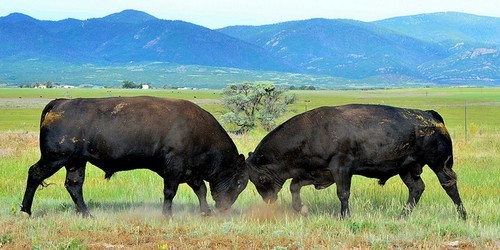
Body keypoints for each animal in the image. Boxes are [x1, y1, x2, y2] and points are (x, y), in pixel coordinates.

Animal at [21, 96, 248, 218]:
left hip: (75, 162)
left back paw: (88, 214)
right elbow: (170, 192)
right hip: (54, 158)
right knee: (35, 174)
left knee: (74, 185)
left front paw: (205, 212)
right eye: (239, 182)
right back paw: (26, 211)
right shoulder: (174, 167)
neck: (200, 131)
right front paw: (167, 216)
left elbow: (200, 189)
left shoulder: (190, 172)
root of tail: (61, 103)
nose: (224, 207)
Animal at [248, 103, 466, 219]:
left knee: (449, 186)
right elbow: (295, 186)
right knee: (417, 188)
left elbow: (343, 193)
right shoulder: (318, 173)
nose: (268, 200)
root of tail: (430, 116)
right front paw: (302, 209)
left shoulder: (341, 168)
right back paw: (402, 216)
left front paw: (344, 216)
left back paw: (462, 216)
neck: (312, 132)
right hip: (407, 169)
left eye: (261, 179)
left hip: (440, 164)